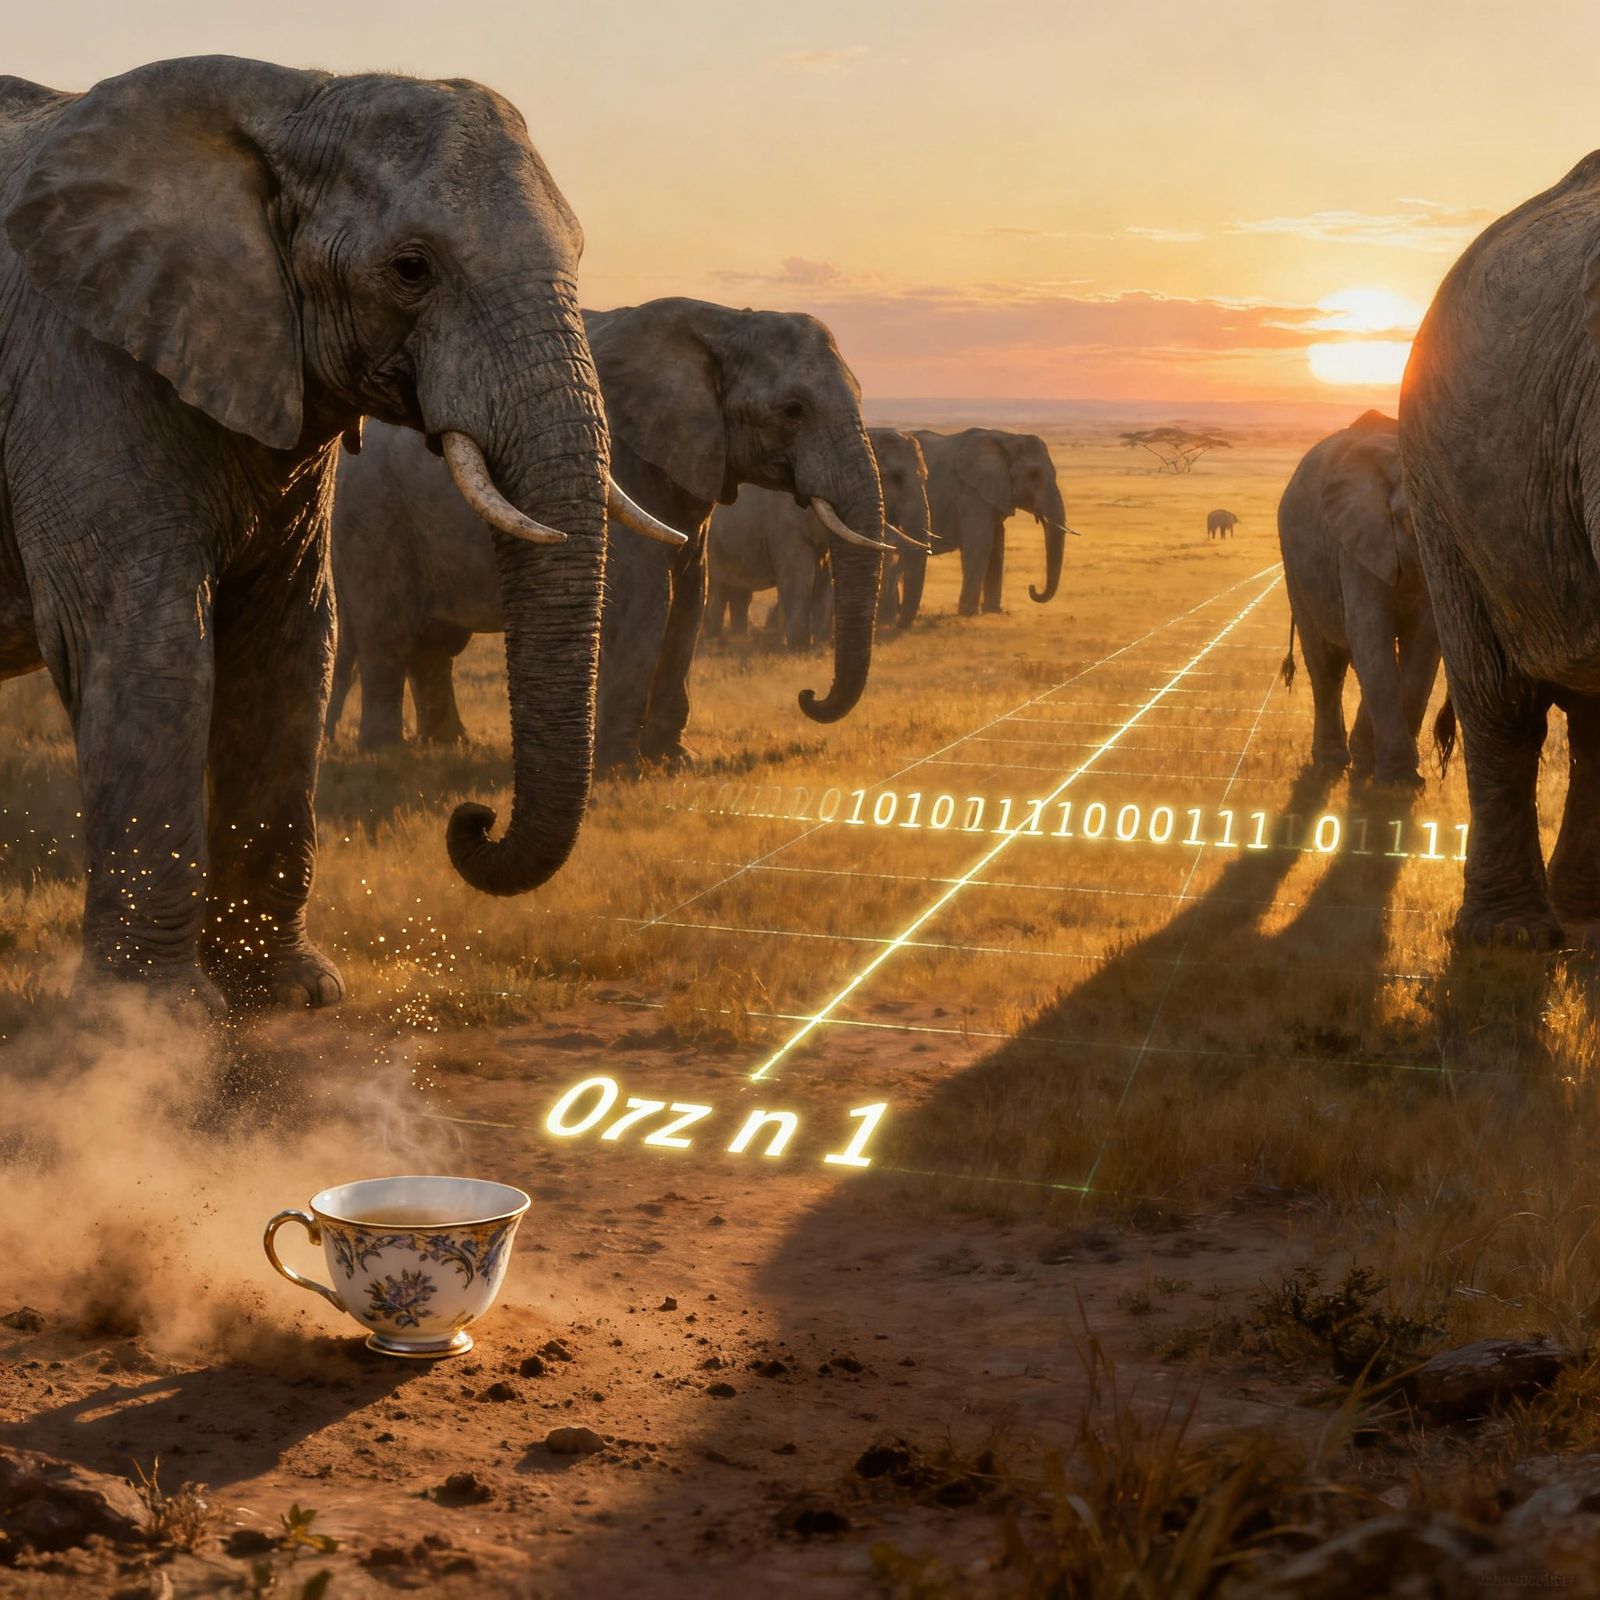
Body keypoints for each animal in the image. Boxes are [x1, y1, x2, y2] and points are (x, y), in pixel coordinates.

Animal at [0, 56, 637, 1012]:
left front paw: (291, 994)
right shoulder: (78, 369)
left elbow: (291, 643)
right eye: (411, 269)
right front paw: (156, 1022)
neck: (292, 96)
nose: (472, 818)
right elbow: (145, 648)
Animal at [328, 299, 889, 766]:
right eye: (793, 411)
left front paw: (675, 761)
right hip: (373, 515)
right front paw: (623, 769)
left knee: (435, 645)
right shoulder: (620, 462)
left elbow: (689, 597)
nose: (807, 696)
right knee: (389, 633)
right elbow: (647, 600)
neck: (723, 323)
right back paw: (386, 753)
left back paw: (449, 744)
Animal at [706, 428, 930, 651]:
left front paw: (818, 647)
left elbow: (823, 580)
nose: (899, 626)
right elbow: (800, 578)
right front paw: (798, 650)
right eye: (896, 477)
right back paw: (714, 640)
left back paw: (730, 638)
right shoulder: (785, 524)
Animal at [885, 428, 1073, 626]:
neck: (1007, 438)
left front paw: (996, 612)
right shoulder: (971, 492)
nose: (1032, 587)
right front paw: (968, 613)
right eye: (1033, 474)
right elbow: (980, 544)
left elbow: (997, 545)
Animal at [1277, 411, 1439, 790]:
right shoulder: (1353, 543)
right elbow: (1371, 637)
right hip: (1296, 565)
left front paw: (1396, 777)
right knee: (1326, 665)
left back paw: (1361, 758)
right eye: (1409, 519)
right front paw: (1398, 782)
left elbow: (1422, 646)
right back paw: (1333, 761)